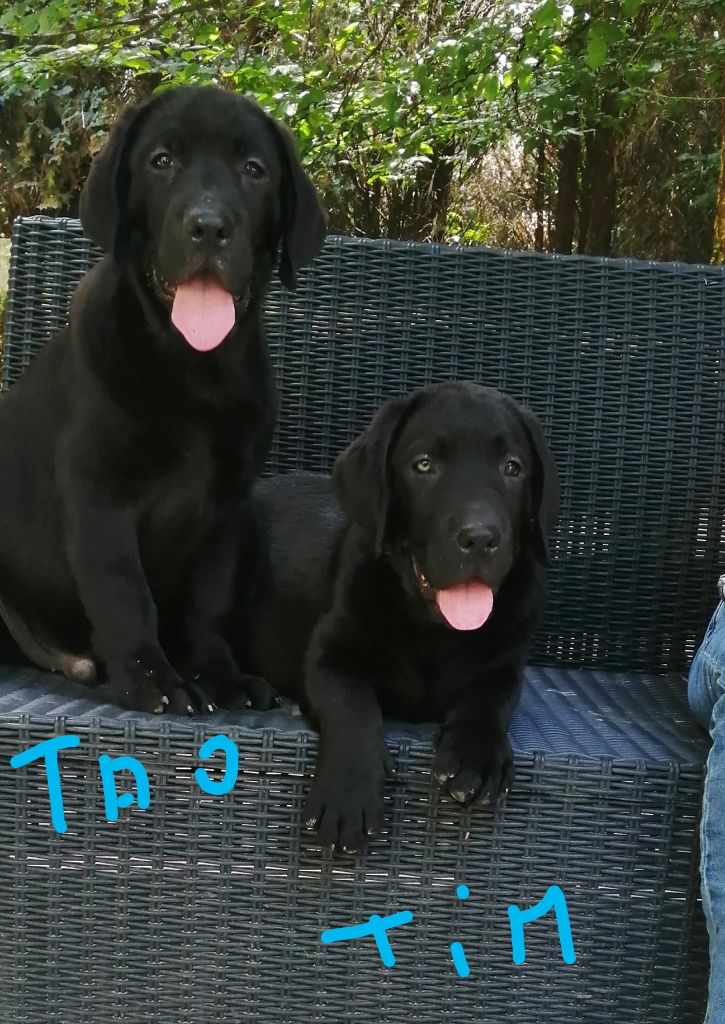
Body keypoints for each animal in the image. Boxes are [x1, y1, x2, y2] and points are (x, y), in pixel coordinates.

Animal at [0, 86, 325, 712]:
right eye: (162, 161)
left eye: (254, 170)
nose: (209, 227)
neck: (195, 368)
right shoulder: (101, 496)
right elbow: (125, 593)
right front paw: (151, 678)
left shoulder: (228, 508)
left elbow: (210, 602)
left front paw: (218, 673)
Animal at [237, 380, 561, 851]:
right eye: (424, 465)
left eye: (512, 468)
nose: (480, 538)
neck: (433, 629)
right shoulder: (327, 657)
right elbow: (351, 705)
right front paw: (348, 795)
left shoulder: (505, 666)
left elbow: (490, 698)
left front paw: (476, 757)